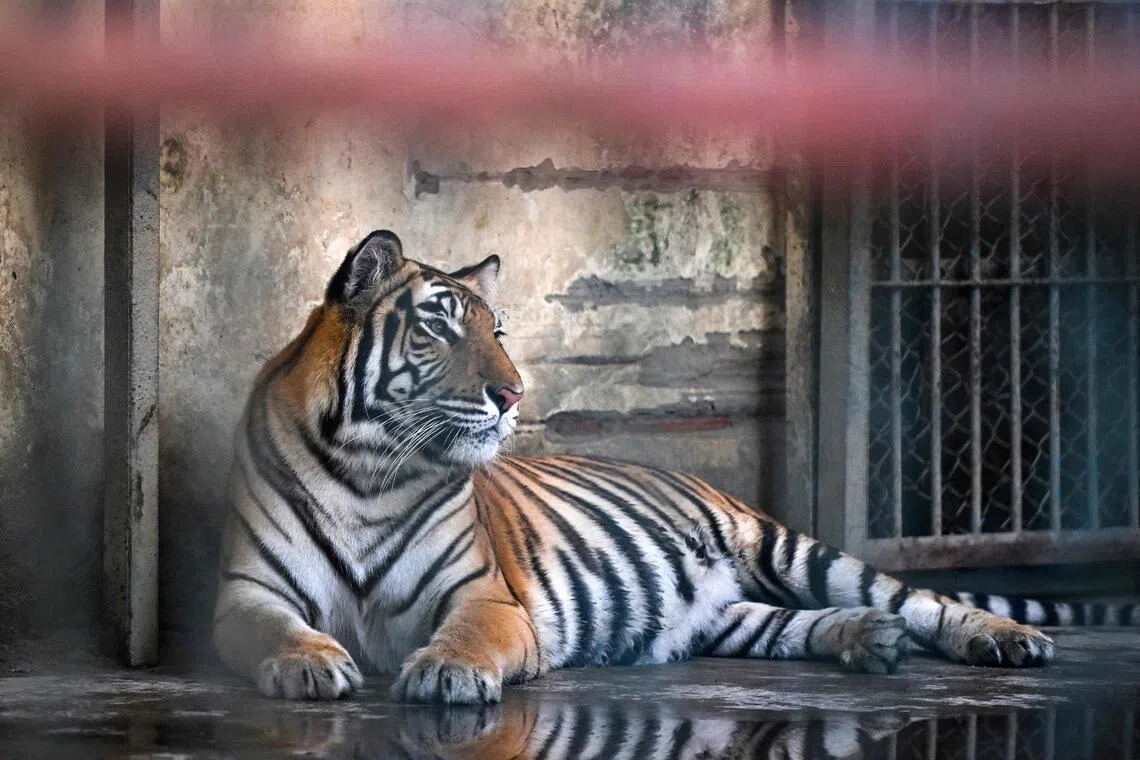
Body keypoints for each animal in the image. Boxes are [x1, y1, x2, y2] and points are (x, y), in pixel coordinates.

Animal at [213, 229, 1136, 703]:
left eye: (498, 332)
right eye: (438, 327)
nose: (513, 394)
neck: (370, 472)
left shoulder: (484, 595)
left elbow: (468, 633)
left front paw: (446, 670)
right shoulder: (248, 590)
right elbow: (275, 628)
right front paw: (309, 662)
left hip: (788, 546)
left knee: (925, 599)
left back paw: (1002, 640)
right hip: (722, 615)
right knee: (790, 625)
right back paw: (868, 641)